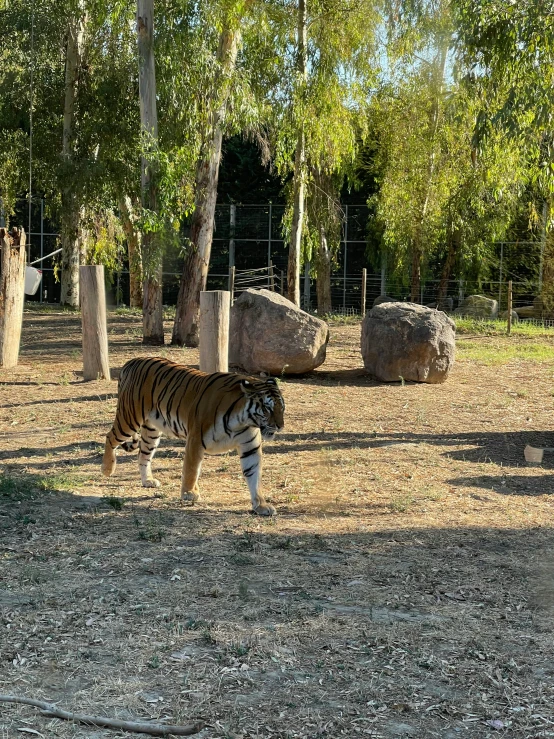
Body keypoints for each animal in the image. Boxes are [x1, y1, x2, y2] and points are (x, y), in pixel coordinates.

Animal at [100, 356, 284, 516]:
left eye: (282, 408)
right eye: (267, 408)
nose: (280, 426)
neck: (243, 421)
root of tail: (131, 362)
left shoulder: (250, 447)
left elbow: (254, 475)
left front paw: (261, 505)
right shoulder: (196, 439)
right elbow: (191, 468)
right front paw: (189, 493)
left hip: (151, 431)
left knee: (143, 455)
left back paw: (148, 481)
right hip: (129, 418)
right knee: (110, 437)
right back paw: (107, 469)